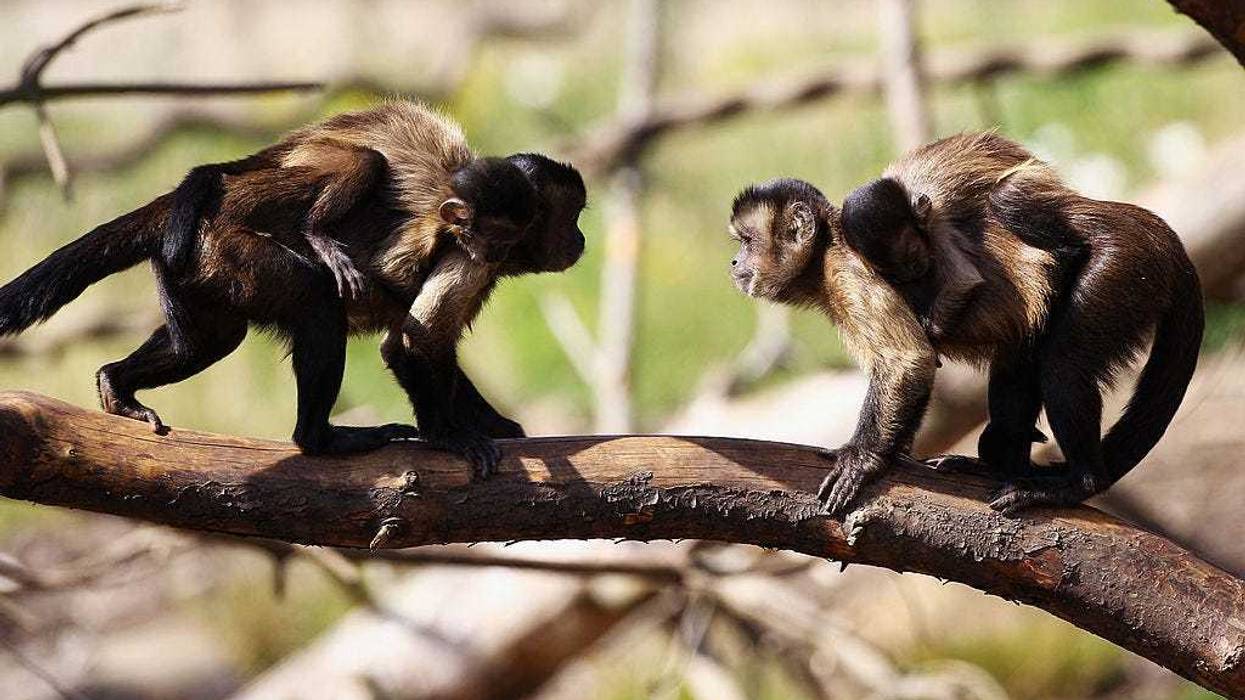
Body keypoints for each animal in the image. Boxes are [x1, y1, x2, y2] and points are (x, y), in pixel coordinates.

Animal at [0, 101, 588, 477]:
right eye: (572, 216)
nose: (581, 238)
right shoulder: (473, 256)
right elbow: (412, 342)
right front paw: (450, 437)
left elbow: (418, 338)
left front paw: (495, 423)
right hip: (227, 244)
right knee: (315, 300)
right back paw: (320, 438)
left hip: (191, 261)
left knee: (205, 344)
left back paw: (116, 385)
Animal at [728, 132, 1203, 515]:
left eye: (747, 242)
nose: (734, 262)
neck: (825, 250)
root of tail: (1160, 234)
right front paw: (893, 455)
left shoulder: (848, 273)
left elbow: (908, 362)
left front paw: (862, 458)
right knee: (1021, 359)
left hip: (1122, 267)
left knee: (1062, 366)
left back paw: (1078, 482)